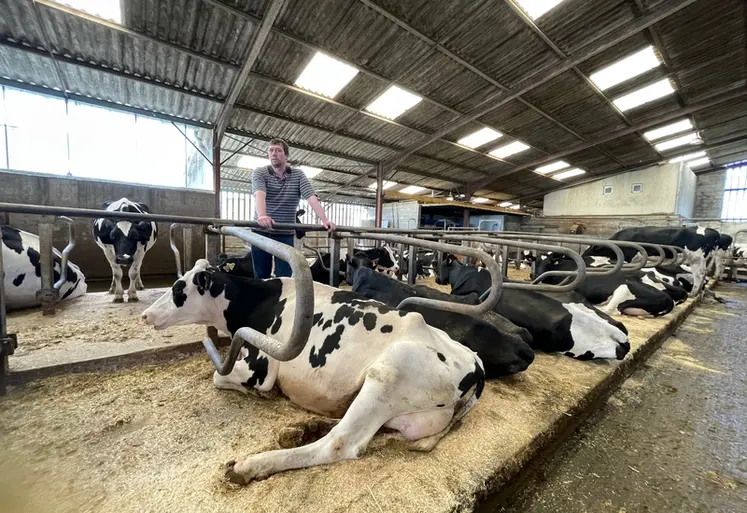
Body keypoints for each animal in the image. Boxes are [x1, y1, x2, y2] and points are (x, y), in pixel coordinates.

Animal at [141, 259, 486, 484]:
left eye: (178, 289)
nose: (145, 315)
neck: (262, 301)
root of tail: (474, 362)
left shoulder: (260, 366)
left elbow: (220, 376)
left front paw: (257, 395)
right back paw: (301, 429)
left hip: (389, 374)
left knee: (340, 442)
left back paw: (250, 466)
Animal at [532, 253, 676, 317]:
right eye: (536, 262)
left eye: (549, 263)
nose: (535, 276)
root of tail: (667, 298)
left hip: (623, 289)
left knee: (610, 309)